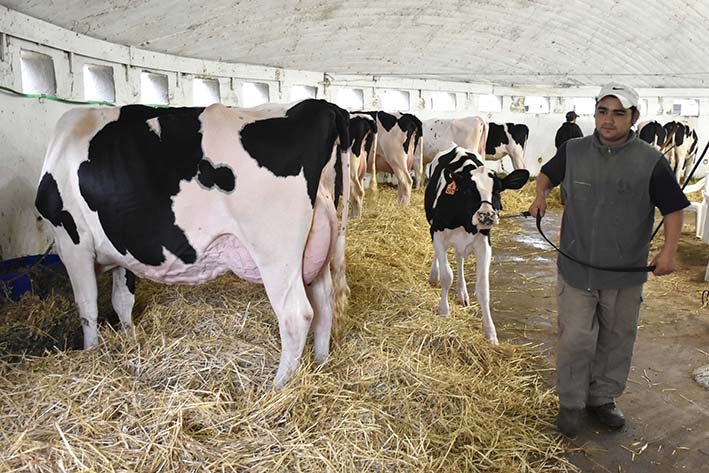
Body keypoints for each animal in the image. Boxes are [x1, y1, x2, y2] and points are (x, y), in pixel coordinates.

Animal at [36, 99, 352, 388]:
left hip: (275, 252)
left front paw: (90, 351)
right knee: (324, 304)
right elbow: (122, 300)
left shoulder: (72, 239)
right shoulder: (121, 251)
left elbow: (87, 306)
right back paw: (320, 364)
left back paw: (278, 387)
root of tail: (319, 104)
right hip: (317, 245)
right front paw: (127, 337)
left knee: (296, 315)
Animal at [424, 146, 528, 342]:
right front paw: (444, 311)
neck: (466, 222)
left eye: (497, 191)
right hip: (432, 224)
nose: (486, 215)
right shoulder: (438, 234)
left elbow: (483, 289)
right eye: (468, 191)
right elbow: (446, 276)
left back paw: (462, 293)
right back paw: (434, 275)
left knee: (459, 258)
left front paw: (490, 333)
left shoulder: (484, 245)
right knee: (440, 258)